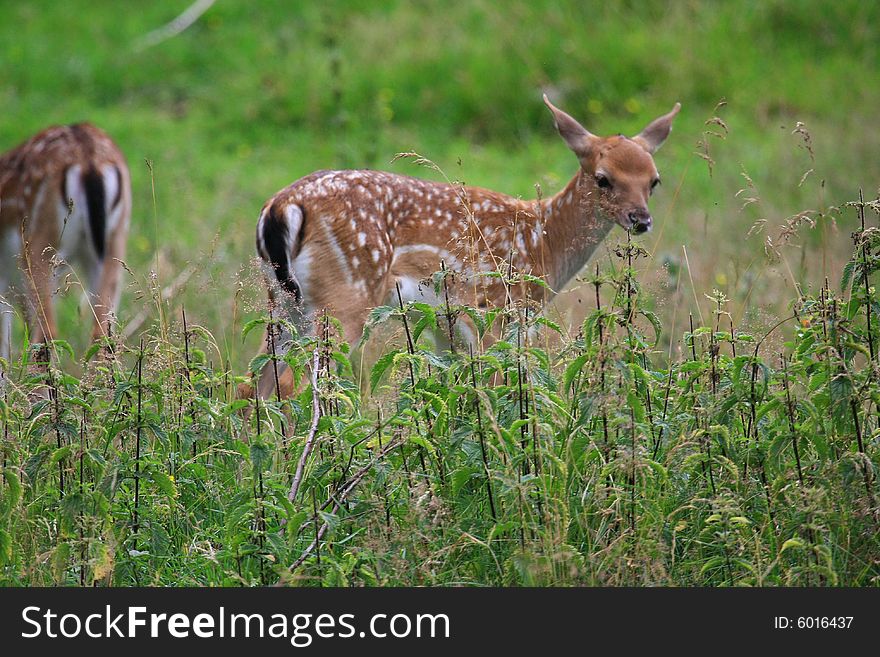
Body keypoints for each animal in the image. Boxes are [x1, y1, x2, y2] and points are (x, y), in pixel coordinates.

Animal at [248, 95, 680, 398]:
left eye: (654, 180)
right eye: (603, 178)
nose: (641, 220)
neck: (543, 242)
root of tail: (281, 207)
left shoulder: (445, 325)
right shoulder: (495, 312)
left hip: (283, 302)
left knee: (255, 384)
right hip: (345, 296)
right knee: (302, 388)